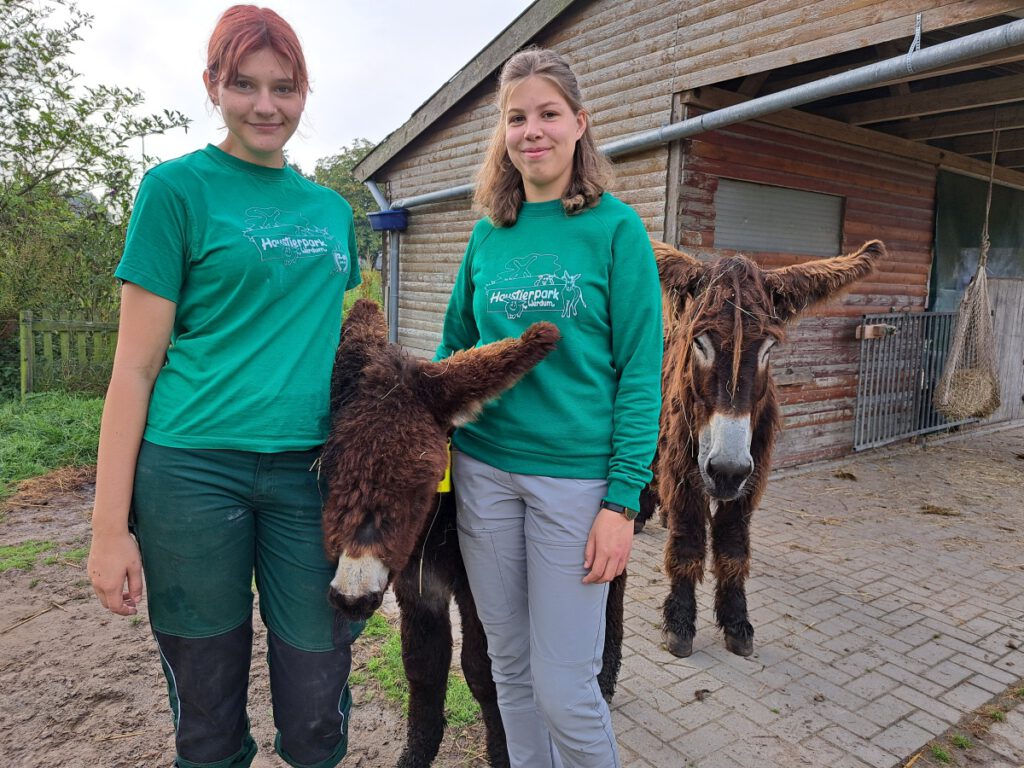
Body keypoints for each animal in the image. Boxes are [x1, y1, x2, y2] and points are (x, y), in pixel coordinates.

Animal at [651, 237, 884, 659]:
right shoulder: (683, 469)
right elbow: (689, 542)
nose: (726, 471)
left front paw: (736, 621)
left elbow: (732, 548)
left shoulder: (751, 474)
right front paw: (679, 623)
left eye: (768, 348)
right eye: (700, 342)